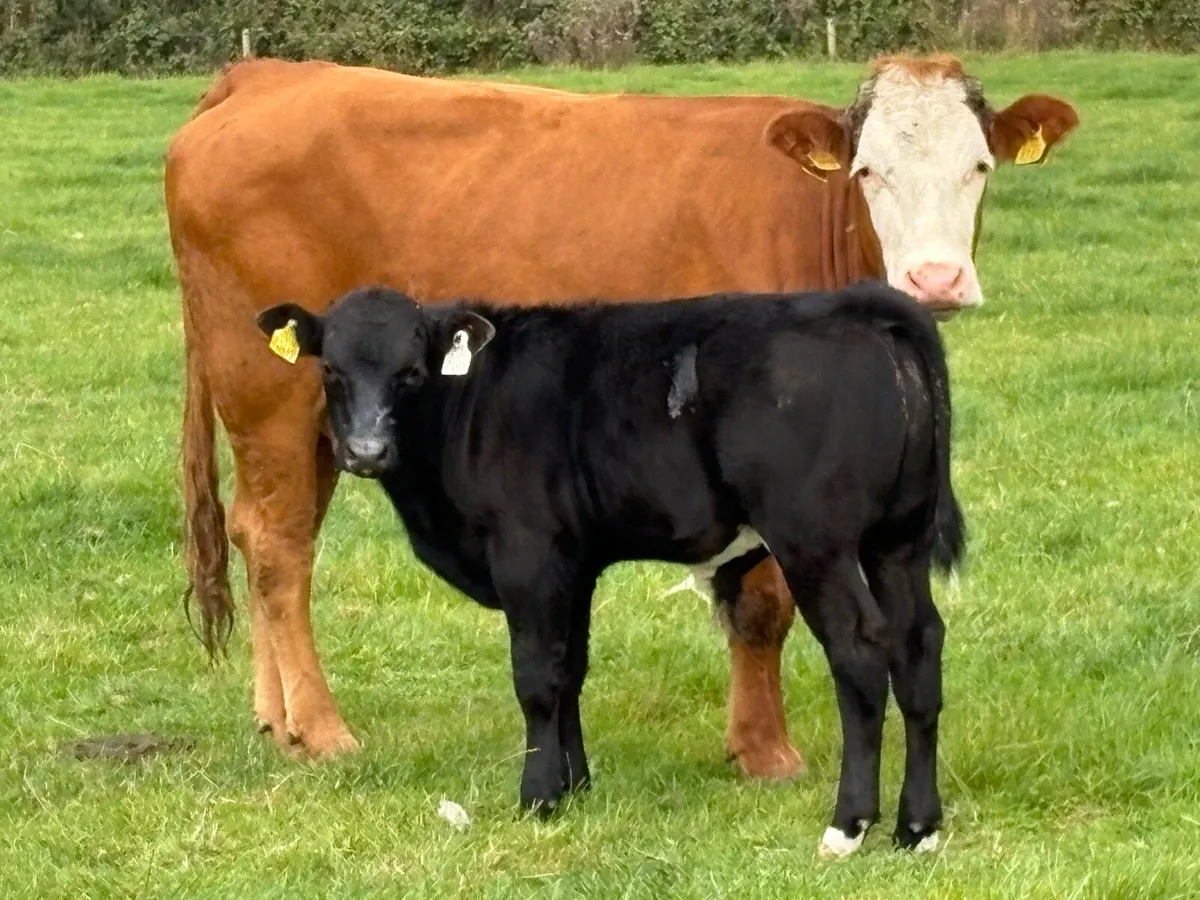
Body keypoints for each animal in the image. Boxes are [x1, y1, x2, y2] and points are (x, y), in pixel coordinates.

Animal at [164, 53, 1075, 771]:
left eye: (980, 168)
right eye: (867, 172)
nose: (935, 279)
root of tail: (269, 73)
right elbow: (762, 601)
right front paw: (765, 751)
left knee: (255, 531)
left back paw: (277, 719)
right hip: (275, 394)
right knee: (279, 547)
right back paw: (322, 730)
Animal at [254, 280, 964, 857]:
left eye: (410, 371)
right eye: (332, 370)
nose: (365, 450)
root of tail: (857, 304)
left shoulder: (530, 556)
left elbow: (537, 677)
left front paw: (539, 795)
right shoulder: (575, 562)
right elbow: (571, 669)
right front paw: (576, 786)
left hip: (815, 543)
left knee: (861, 654)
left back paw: (848, 827)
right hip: (898, 540)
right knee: (919, 647)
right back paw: (917, 828)